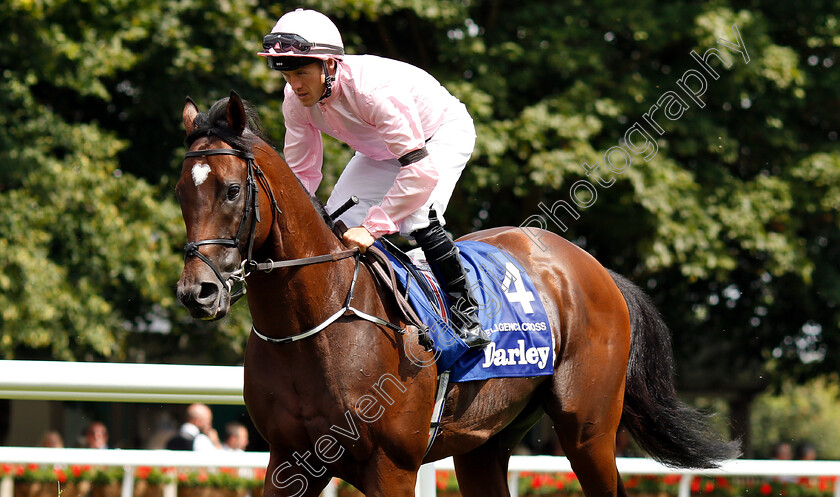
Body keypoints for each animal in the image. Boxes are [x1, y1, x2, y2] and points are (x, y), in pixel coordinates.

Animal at [176, 93, 736, 496]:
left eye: (231, 190)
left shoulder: (392, 466)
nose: (196, 292)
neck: (315, 326)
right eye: (181, 192)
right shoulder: (289, 461)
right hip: (483, 443)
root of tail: (595, 269)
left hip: (589, 428)